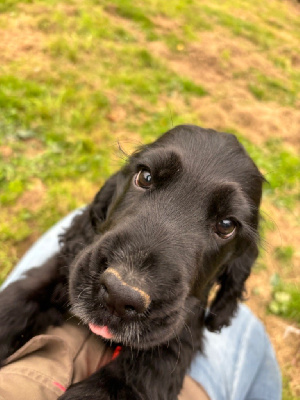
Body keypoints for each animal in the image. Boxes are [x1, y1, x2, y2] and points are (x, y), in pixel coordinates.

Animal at [0, 123, 262, 398]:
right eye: (145, 177)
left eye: (226, 225)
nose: (119, 294)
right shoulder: (64, 269)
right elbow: (17, 301)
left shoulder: (174, 345)